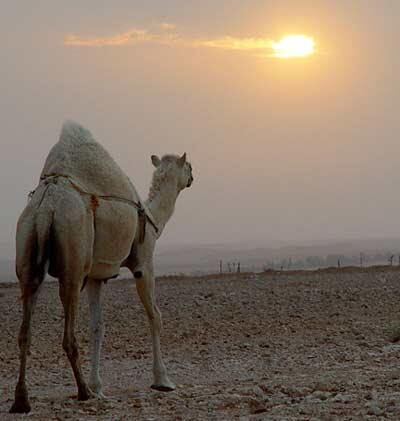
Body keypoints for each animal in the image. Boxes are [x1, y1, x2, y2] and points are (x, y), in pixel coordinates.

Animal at [10, 120, 195, 412]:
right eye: (188, 165)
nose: (192, 177)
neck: (153, 217)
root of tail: (47, 206)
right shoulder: (144, 262)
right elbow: (155, 315)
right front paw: (163, 380)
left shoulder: (97, 277)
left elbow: (98, 326)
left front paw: (99, 386)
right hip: (74, 257)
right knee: (68, 332)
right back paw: (82, 391)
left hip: (27, 248)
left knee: (24, 329)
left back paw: (22, 399)